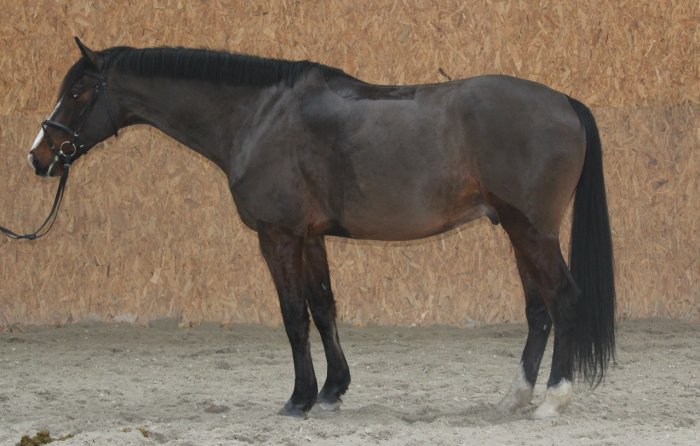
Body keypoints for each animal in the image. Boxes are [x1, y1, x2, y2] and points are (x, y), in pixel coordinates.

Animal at [27, 38, 615, 419]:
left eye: (78, 93)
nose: (39, 156)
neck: (260, 116)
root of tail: (564, 103)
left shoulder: (278, 234)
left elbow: (293, 316)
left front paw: (299, 398)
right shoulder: (310, 236)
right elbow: (324, 307)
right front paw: (333, 391)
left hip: (532, 230)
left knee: (564, 299)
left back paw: (553, 400)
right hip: (517, 232)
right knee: (539, 310)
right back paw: (514, 398)